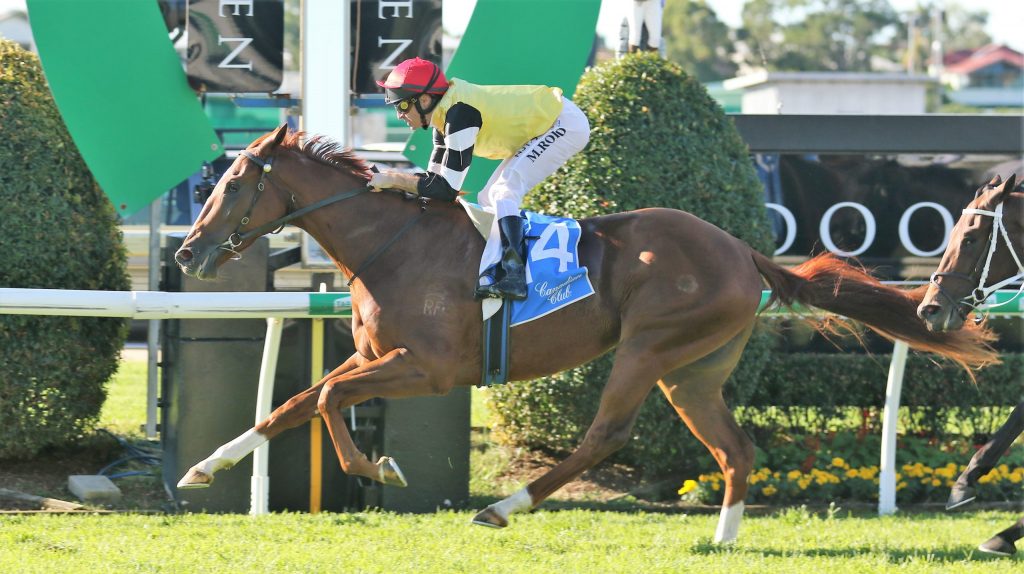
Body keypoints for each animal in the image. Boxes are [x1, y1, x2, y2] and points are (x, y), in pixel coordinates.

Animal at [173, 125, 996, 543]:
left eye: (232, 183)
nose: (186, 253)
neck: (392, 243)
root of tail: (743, 250)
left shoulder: (429, 369)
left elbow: (326, 400)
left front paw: (380, 467)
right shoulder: (378, 357)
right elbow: (293, 403)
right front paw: (205, 469)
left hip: (649, 347)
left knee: (606, 434)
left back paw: (504, 506)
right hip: (692, 371)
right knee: (735, 448)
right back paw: (722, 538)